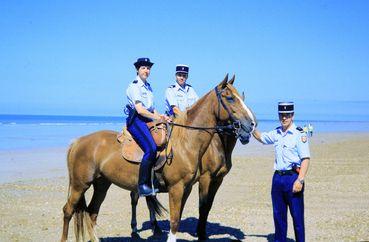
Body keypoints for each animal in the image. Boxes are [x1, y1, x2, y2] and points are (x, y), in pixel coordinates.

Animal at [60, 74, 256, 241]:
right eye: (230, 98)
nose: (251, 124)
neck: (184, 142)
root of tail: (78, 142)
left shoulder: (187, 188)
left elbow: (181, 217)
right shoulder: (181, 187)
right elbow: (178, 219)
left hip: (102, 184)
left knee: (92, 212)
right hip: (80, 185)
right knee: (68, 210)